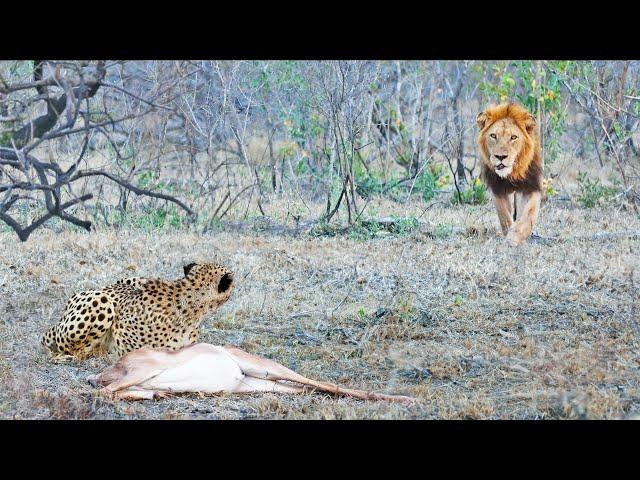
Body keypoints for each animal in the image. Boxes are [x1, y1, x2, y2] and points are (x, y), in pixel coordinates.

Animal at [478, 101, 544, 244]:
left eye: (513, 137)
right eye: (493, 136)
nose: (501, 157)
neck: (512, 174)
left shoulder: (531, 186)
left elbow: (528, 215)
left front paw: (515, 237)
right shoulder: (497, 188)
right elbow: (504, 215)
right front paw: (509, 232)